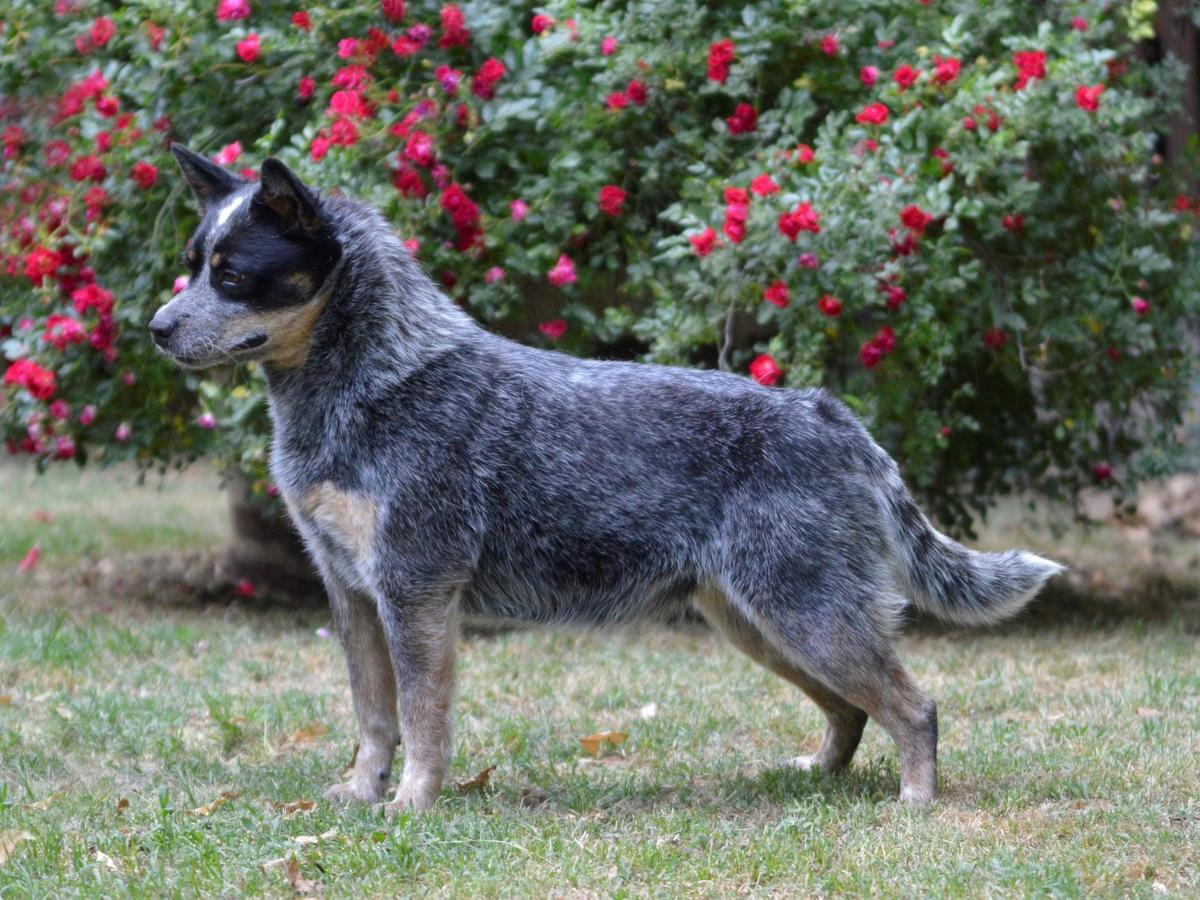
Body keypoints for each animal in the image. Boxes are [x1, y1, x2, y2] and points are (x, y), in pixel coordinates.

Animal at [152, 146, 1070, 811]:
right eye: (191, 261)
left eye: (233, 274)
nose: (156, 326)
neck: (380, 382)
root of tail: (827, 412)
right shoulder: (351, 591)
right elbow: (372, 715)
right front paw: (358, 792)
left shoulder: (416, 590)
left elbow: (420, 717)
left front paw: (411, 803)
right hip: (758, 619)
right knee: (850, 709)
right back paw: (814, 777)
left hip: (804, 611)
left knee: (914, 706)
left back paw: (915, 802)